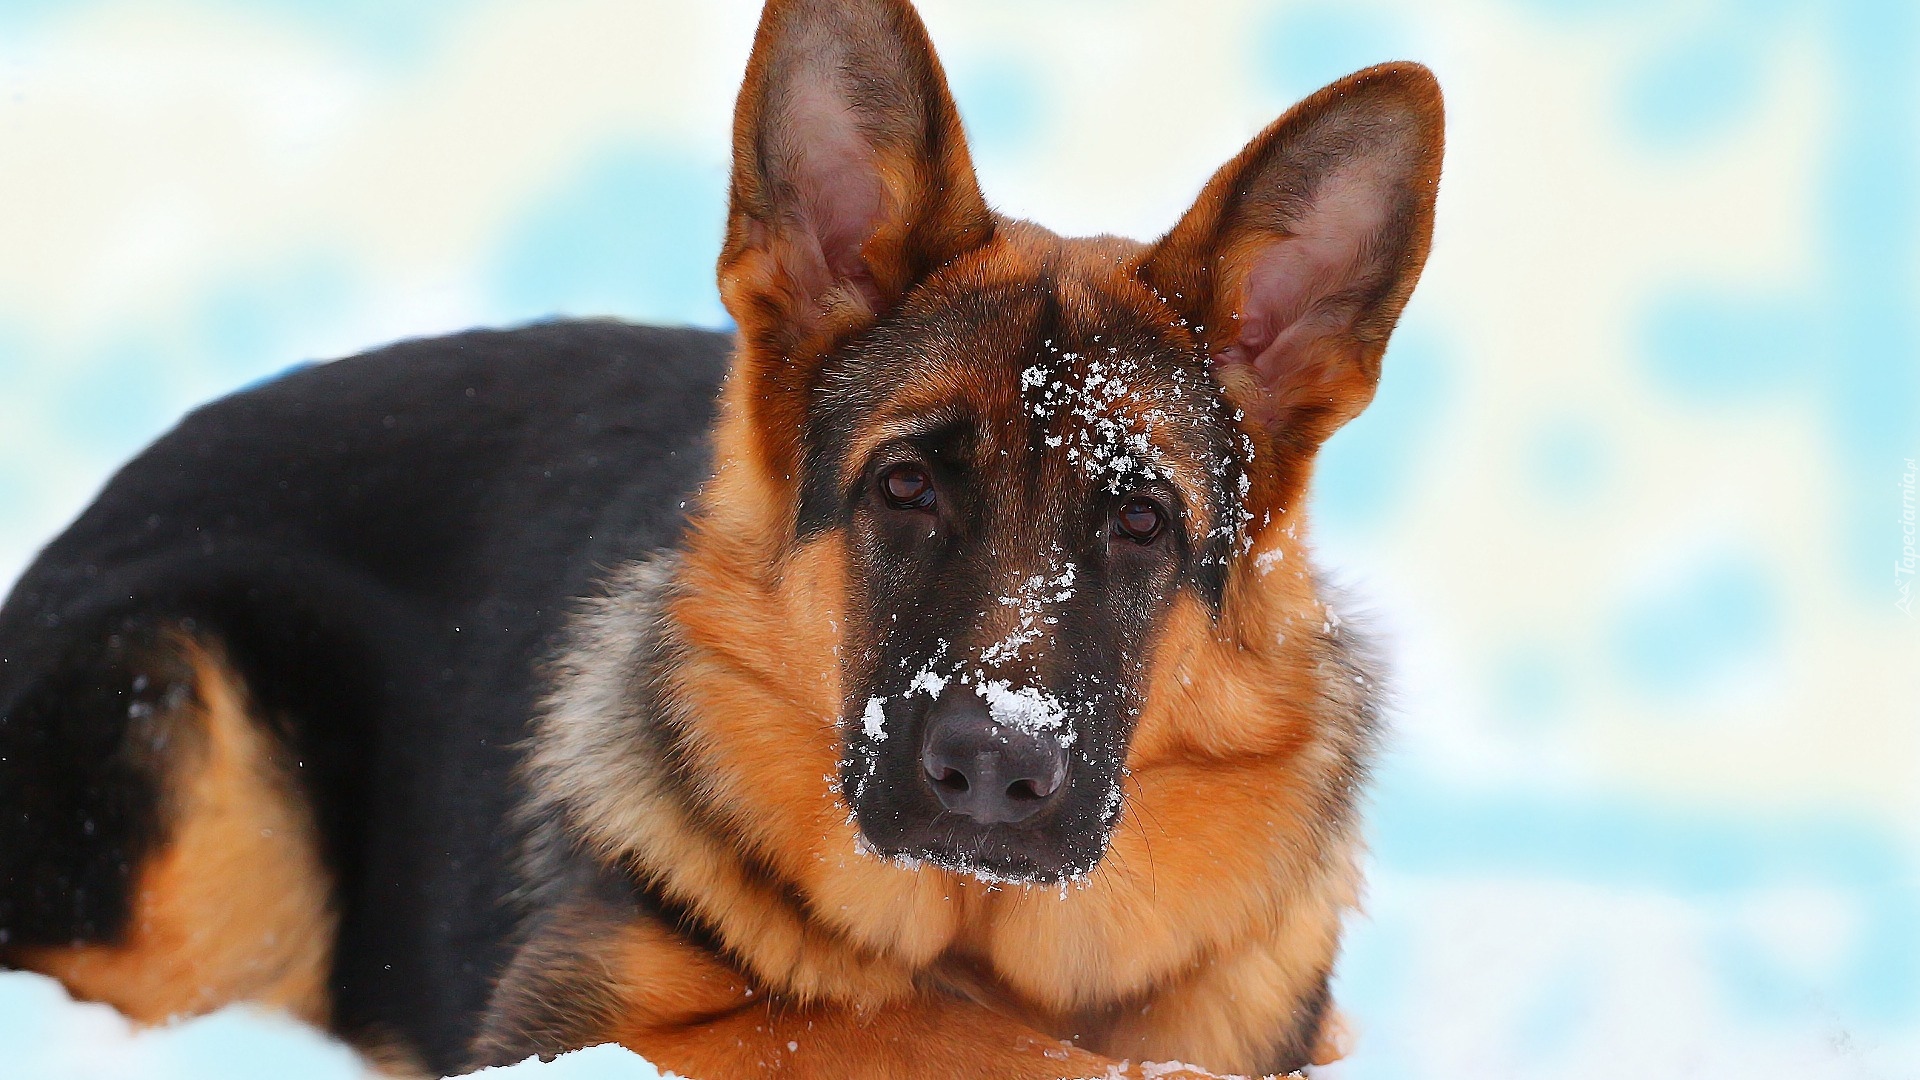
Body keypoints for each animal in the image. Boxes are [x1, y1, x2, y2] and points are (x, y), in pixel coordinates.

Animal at [0, 4, 1443, 1068]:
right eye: (905, 487)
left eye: (1142, 522)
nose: (994, 767)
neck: (980, 944)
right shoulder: (581, 1024)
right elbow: (908, 1030)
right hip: (197, 722)